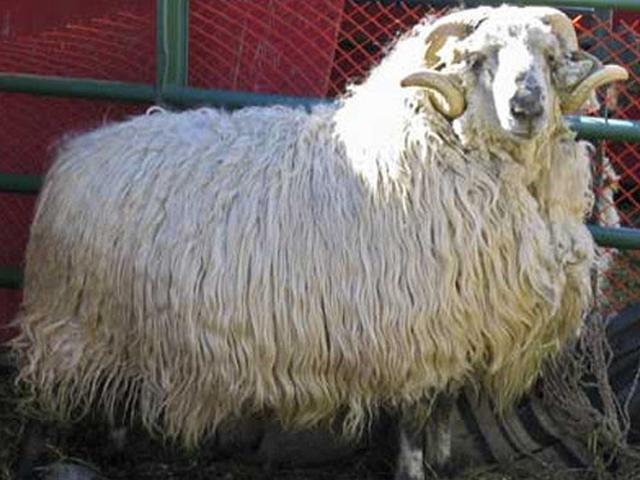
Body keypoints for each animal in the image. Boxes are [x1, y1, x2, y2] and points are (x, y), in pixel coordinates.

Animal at [12, 5, 627, 480]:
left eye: (550, 58)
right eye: (478, 60)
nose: (527, 107)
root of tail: (74, 153)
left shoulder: (459, 330)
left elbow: (443, 415)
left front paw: (446, 463)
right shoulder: (414, 334)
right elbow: (413, 424)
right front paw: (413, 469)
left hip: (123, 327)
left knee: (118, 400)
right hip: (75, 321)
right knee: (38, 403)